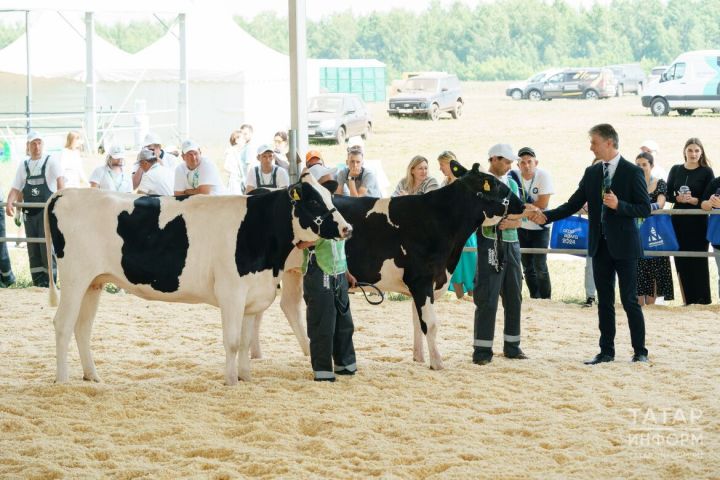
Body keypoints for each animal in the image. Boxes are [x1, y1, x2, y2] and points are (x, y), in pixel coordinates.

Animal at [42, 174, 352, 384]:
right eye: (313, 200)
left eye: (330, 197)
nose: (347, 228)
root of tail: (65, 193)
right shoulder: (231, 291)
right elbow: (233, 341)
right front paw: (230, 382)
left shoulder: (252, 295)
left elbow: (246, 339)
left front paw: (246, 378)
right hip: (74, 279)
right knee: (62, 325)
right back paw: (63, 380)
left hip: (93, 282)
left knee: (82, 328)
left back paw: (92, 377)